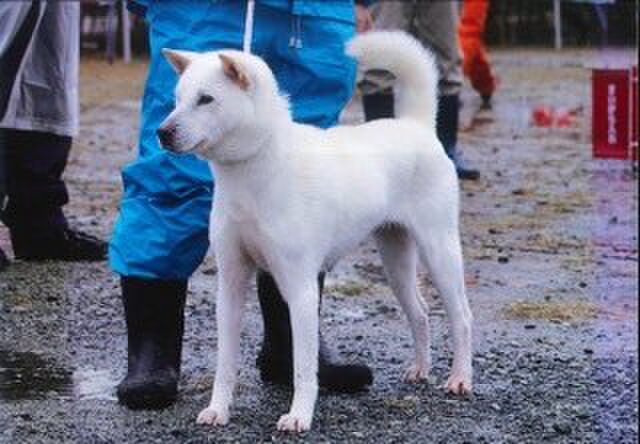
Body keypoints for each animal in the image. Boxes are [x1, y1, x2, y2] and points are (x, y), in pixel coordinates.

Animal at [158, 30, 472, 430]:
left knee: (461, 317)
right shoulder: (230, 284)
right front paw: (218, 409)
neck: (253, 169)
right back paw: (420, 369)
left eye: (206, 99)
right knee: (419, 312)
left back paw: (460, 378)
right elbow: (225, 364)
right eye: (177, 99)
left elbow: (304, 368)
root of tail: (416, 126)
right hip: (396, 258)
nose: (162, 132)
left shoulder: (301, 290)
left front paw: (298, 416)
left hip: (439, 250)